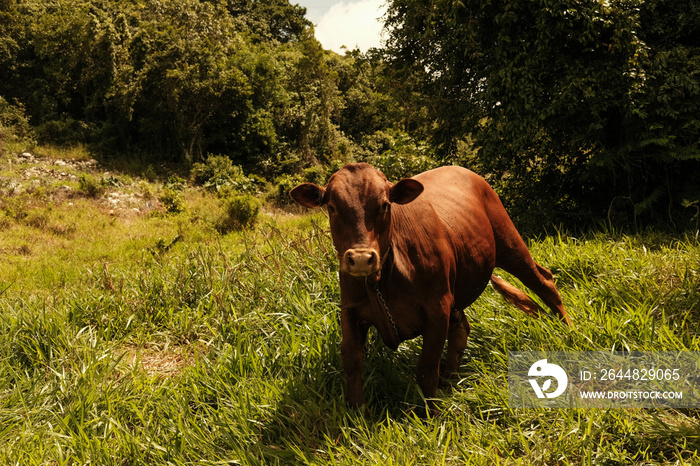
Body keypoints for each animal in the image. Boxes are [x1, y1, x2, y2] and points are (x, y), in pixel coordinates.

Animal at [290, 163, 568, 408]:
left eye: (384, 205)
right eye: (332, 207)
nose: (360, 258)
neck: (381, 280)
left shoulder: (437, 308)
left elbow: (426, 369)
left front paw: (430, 415)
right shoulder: (350, 310)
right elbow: (352, 362)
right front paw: (358, 416)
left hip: (509, 243)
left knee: (545, 282)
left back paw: (568, 332)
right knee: (461, 329)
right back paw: (450, 380)